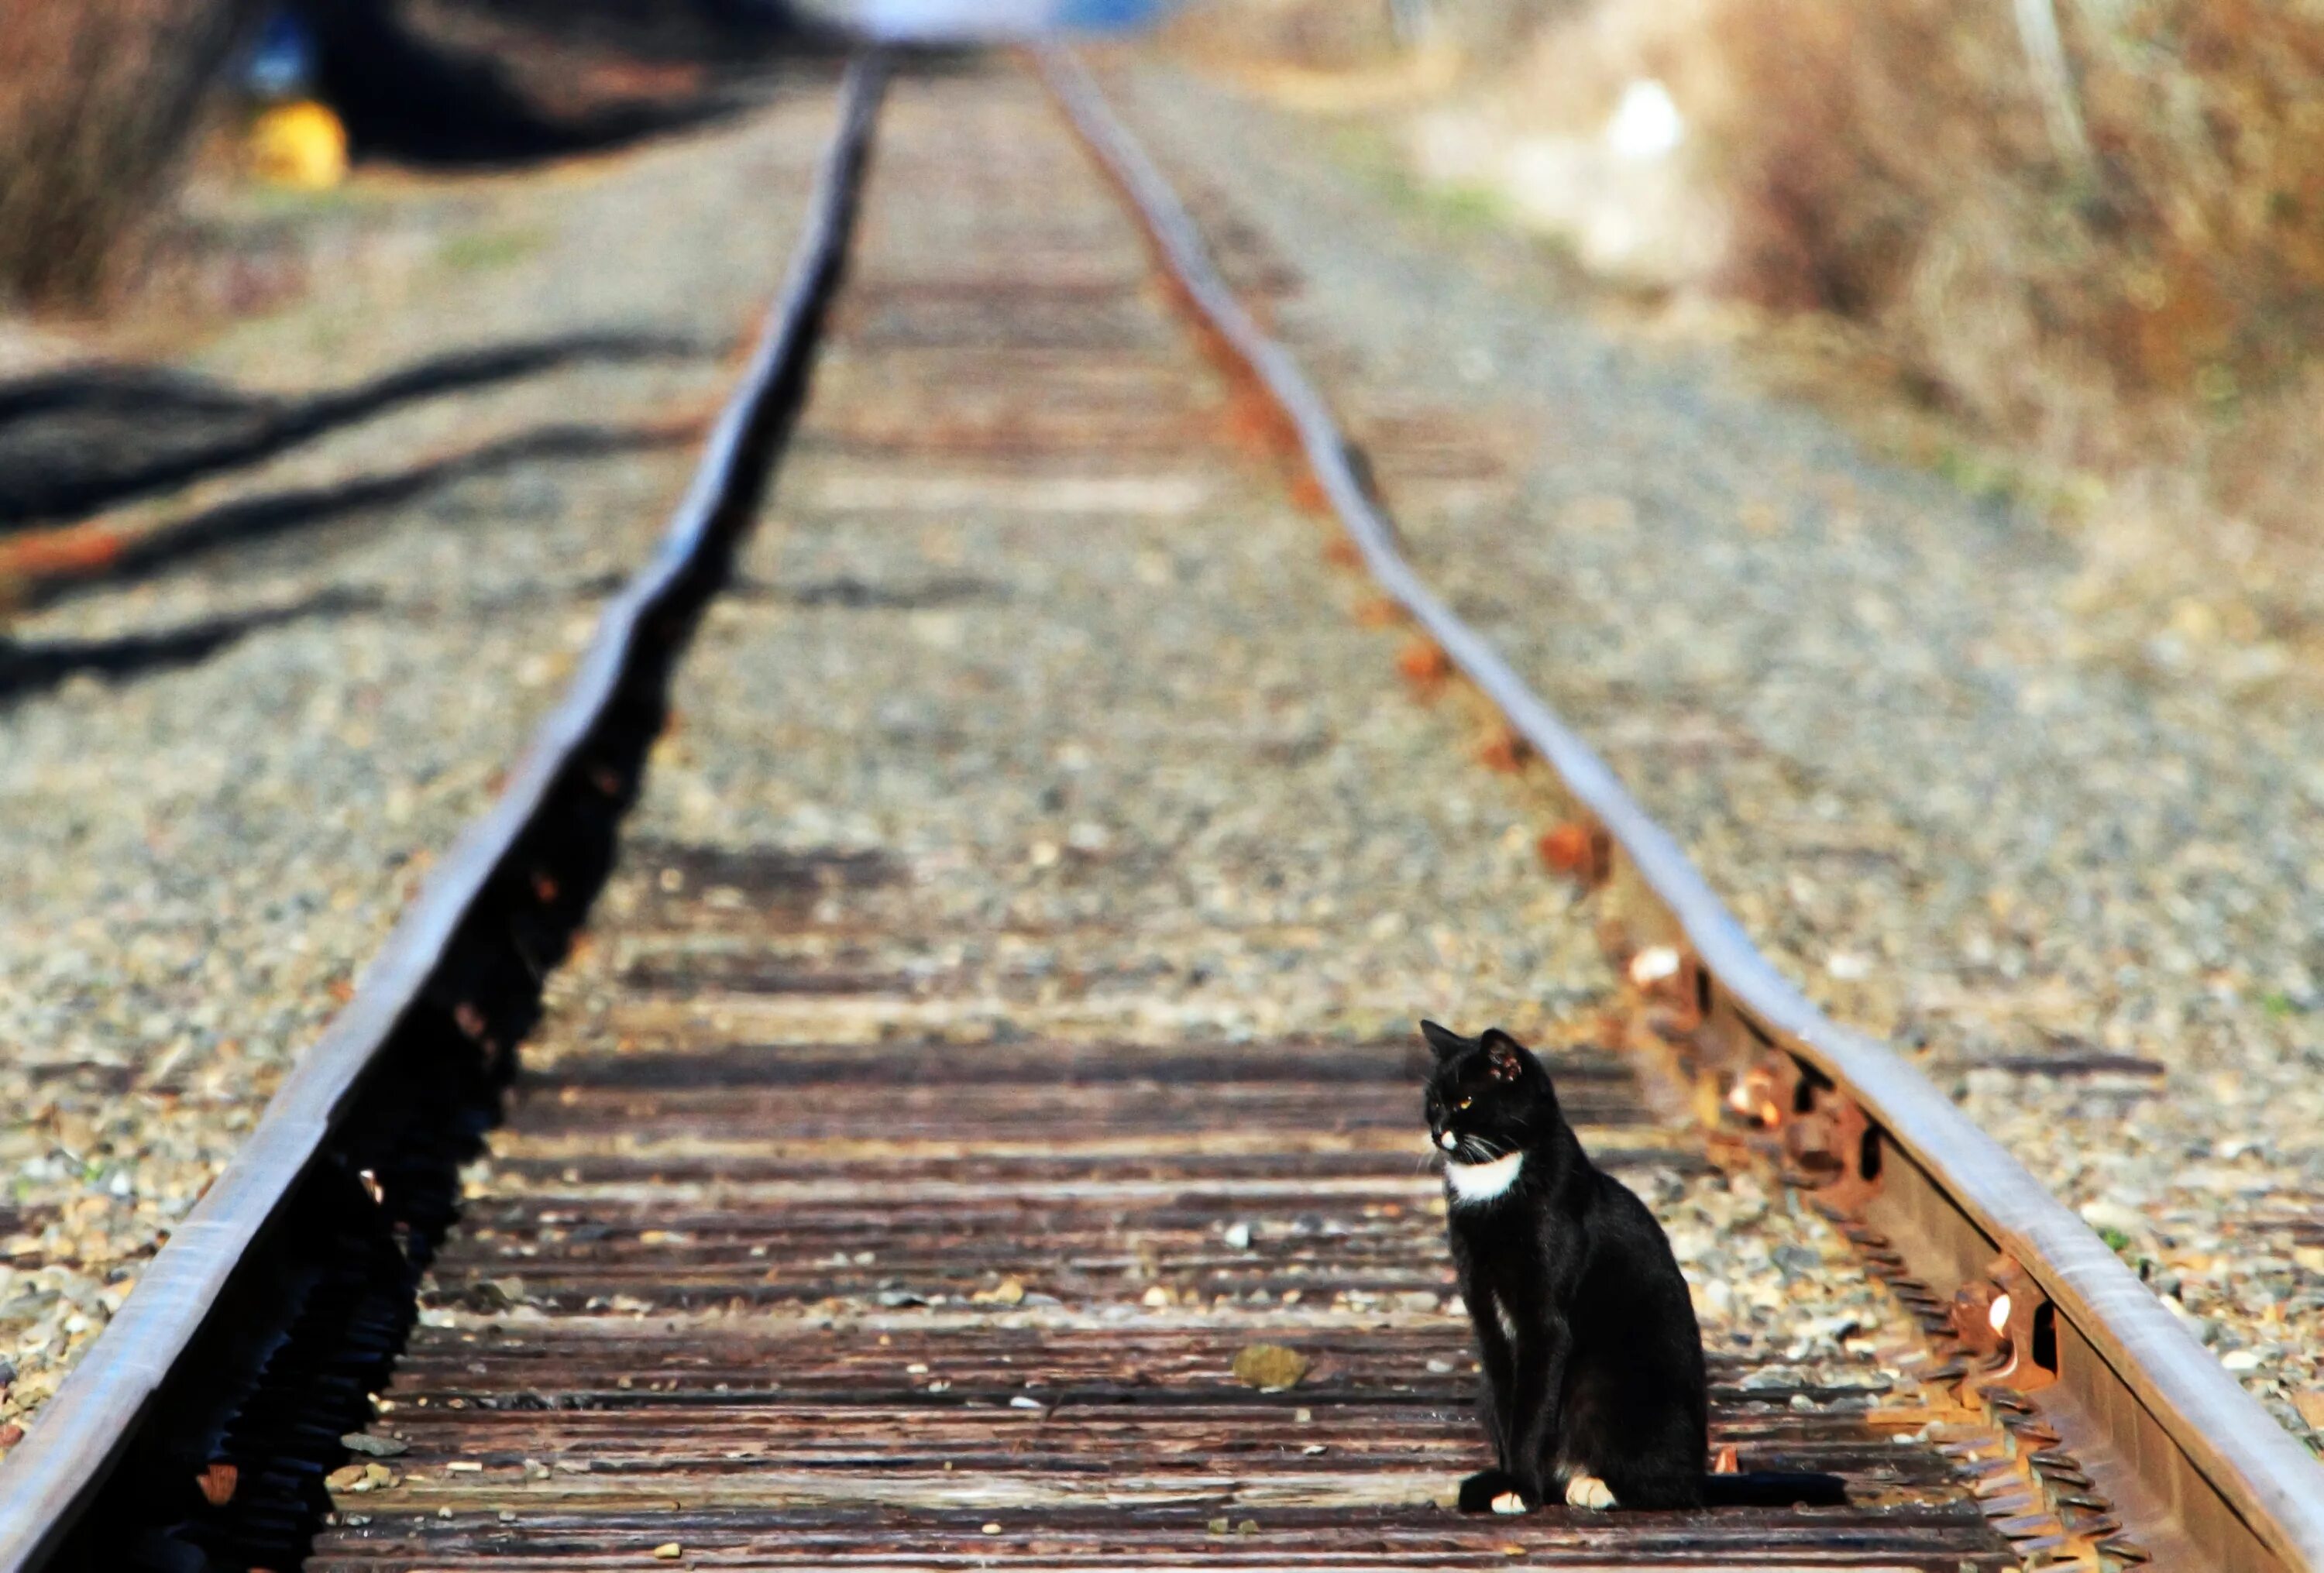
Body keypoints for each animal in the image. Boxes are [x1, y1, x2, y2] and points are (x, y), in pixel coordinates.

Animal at [1422, 1018, 1841, 1506]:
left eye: (1466, 1101)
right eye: (1433, 1103)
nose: (1437, 1130)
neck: (1491, 1185)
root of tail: (1701, 1476)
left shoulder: (1544, 1322)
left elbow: (1531, 1412)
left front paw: (1520, 1488)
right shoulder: (1487, 1317)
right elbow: (1512, 1410)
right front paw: (1507, 1481)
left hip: (1607, 1382)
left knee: (1666, 1487)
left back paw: (1595, 1486)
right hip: (1490, 1388)